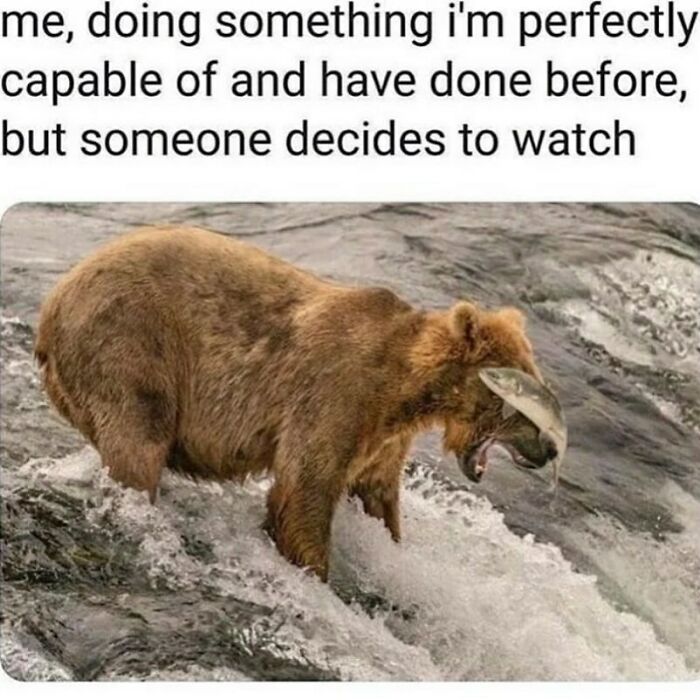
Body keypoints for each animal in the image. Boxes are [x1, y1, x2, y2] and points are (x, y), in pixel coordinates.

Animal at [35, 226, 556, 581]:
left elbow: (378, 495)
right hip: (131, 347)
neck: (405, 389)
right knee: (138, 444)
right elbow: (305, 490)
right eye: (520, 394)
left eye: (536, 375)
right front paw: (316, 571)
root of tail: (52, 304)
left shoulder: (382, 438)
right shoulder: (335, 395)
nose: (549, 447)